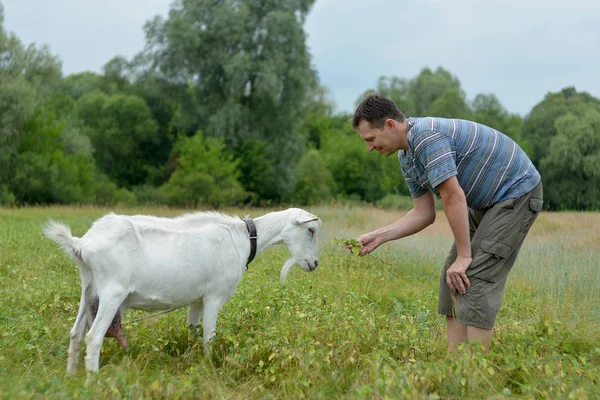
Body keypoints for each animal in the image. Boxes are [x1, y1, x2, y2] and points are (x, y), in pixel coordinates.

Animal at [42, 208, 322, 374]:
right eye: (310, 229)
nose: (315, 263)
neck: (243, 239)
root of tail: (82, 243)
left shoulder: (196, 300)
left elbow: (193, 333)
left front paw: (191, 361)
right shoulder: (213, 297)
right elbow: (209, 337)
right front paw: (210, 366)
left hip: (89, 288)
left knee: (76, 333)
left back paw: (71, 376)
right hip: (112, 293)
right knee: (93, 336)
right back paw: (93, 380)